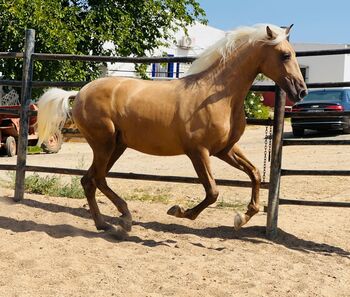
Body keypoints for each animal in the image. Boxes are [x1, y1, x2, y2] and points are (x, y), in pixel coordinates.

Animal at [37, 24, 306, 237]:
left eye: (293, 54)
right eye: (284, 55)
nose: (301, 91)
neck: (217, 96)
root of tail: (79, 93)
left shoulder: (225, 149)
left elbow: (255, 174)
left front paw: (242, 217)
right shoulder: (198, 151)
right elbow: (213, 192)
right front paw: (179, 211)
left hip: (116, 146)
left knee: (89, 180)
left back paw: (105, 224)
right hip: (104, 144)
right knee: (99, 178)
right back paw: (124, 219)